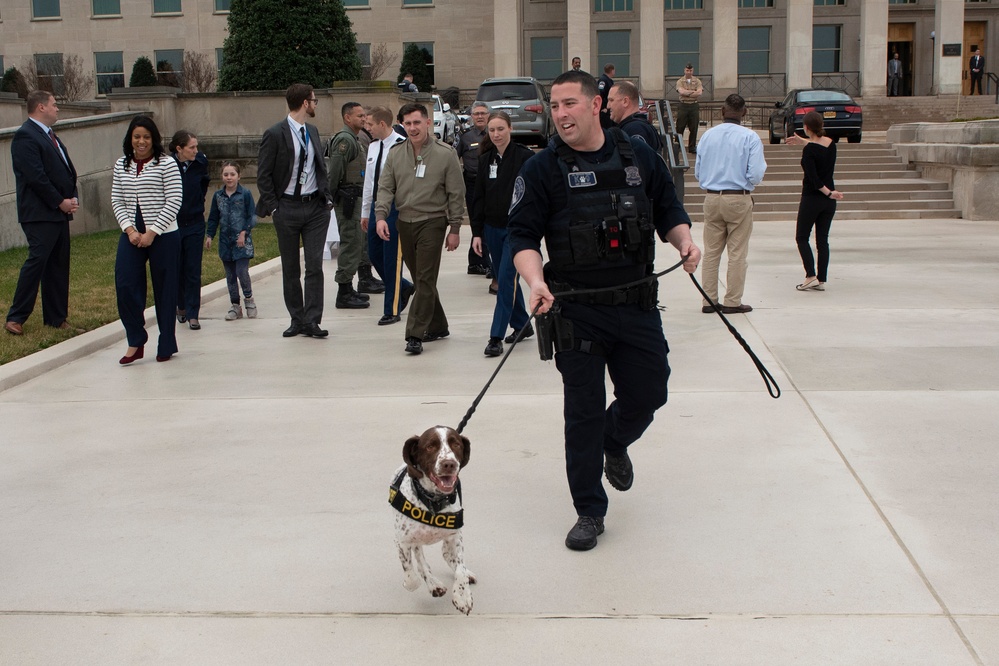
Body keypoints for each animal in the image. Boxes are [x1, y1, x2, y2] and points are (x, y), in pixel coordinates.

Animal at [388, 426, 474, 612]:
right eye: (430, 447)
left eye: (456, 444)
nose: (449, 464)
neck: (434, 502)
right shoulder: (402, 541)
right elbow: (411, 576)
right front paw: (429, 583)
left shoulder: (455, 536)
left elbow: (460, 569)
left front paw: (462, 596)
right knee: (421, 561)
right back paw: (434, 584)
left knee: (448, 557)